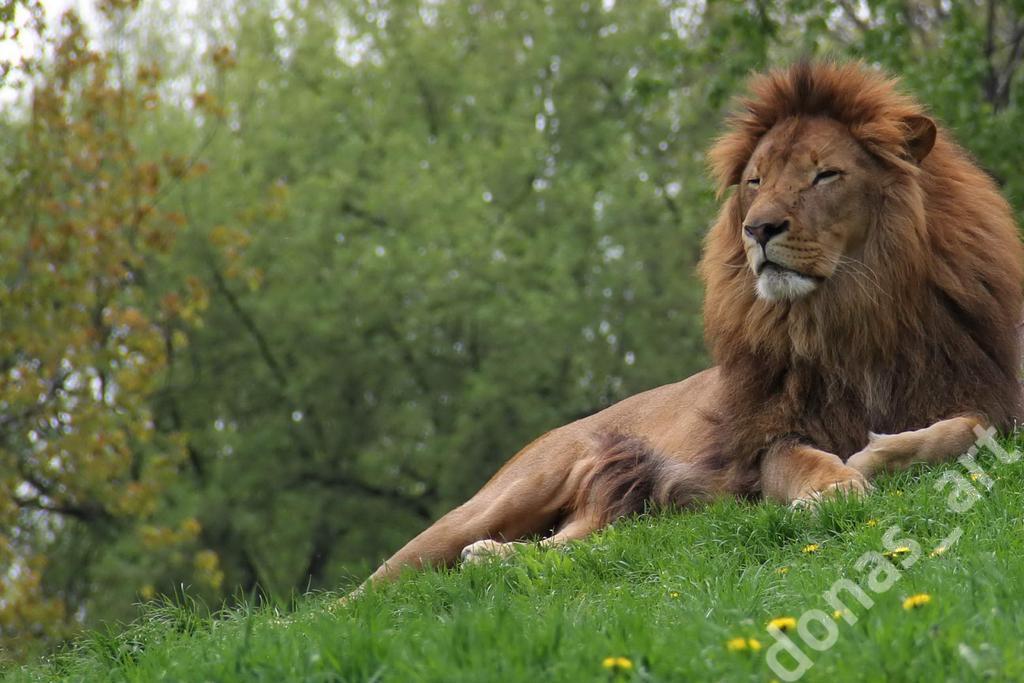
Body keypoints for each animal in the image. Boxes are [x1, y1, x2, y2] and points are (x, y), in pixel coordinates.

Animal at [354, 61, 1024, 589]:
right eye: (756, 180)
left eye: (825, 174)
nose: (758, 228)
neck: (852, 317)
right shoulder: (770, 442)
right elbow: (808, 464)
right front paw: (836, 488)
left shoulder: (993, 395)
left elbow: (973, 428)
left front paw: (878, 454)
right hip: (509, 492)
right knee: (372, 587)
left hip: (615, 516)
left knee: (561, 551)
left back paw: (493, 560)